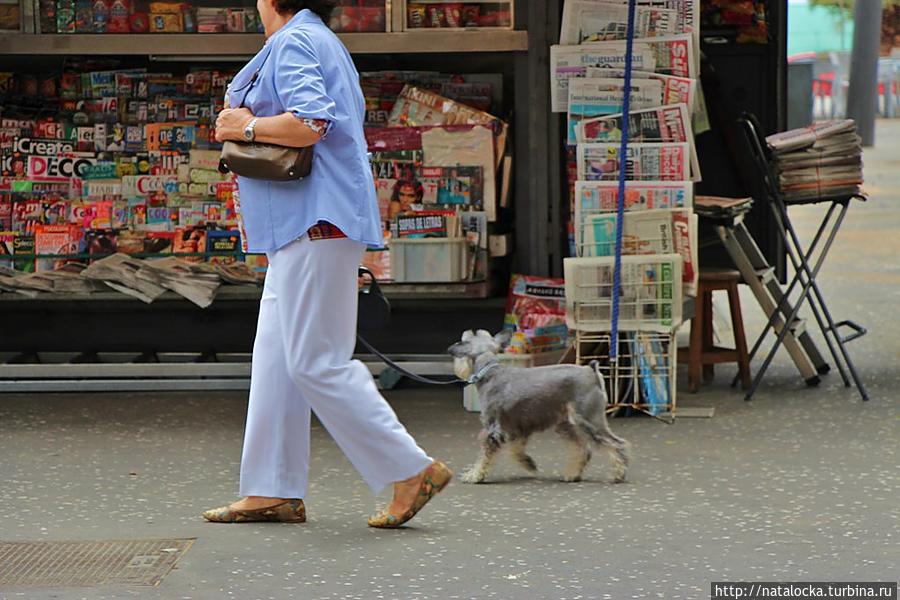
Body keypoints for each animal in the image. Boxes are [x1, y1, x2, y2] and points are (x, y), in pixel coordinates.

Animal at [448, 326, 628, 486]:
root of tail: (591, 371)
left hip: (589, 420)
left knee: (616, 443)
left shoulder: (493, 430)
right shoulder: (518, 428)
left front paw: (474, 475)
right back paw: (573, 474)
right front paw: (529, 464)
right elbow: (516, 450)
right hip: (565, 425)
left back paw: (619, 474)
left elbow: (484, 456)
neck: (489, 371)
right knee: (584, 450)